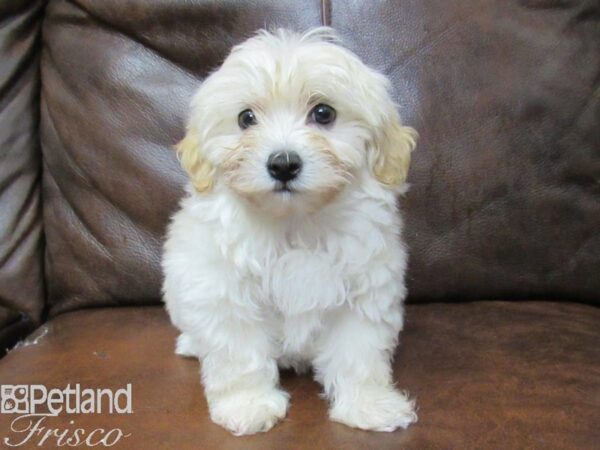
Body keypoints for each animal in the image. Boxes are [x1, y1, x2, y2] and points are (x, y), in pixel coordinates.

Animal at [162, 28, 420, 436]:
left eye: (324, 113)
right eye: (246, 118)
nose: (283, 164)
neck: (295, 221)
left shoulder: (362, 290)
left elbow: (357, 353)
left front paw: (368, 404)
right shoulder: (225, 292)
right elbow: (239, 353)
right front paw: (248, 405)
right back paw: (191, 343)